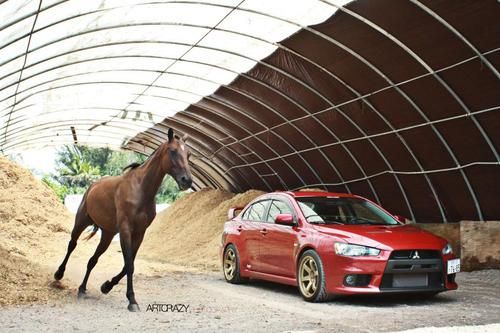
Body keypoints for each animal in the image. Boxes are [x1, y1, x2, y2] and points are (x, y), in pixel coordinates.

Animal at [54, 128, 191, 310]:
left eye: (188, 154)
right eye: (173, 151)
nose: (187, 180)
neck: (140, 189)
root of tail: (93, 186)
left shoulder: (139, 233)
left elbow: (127, 265)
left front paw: (106, 286)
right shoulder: (126, 230)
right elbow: (130, 265)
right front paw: (132, 300)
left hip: (107, 235)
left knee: (92, 260)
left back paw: (82, 289)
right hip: (81, 222)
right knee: (72, 245)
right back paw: (58, 274)